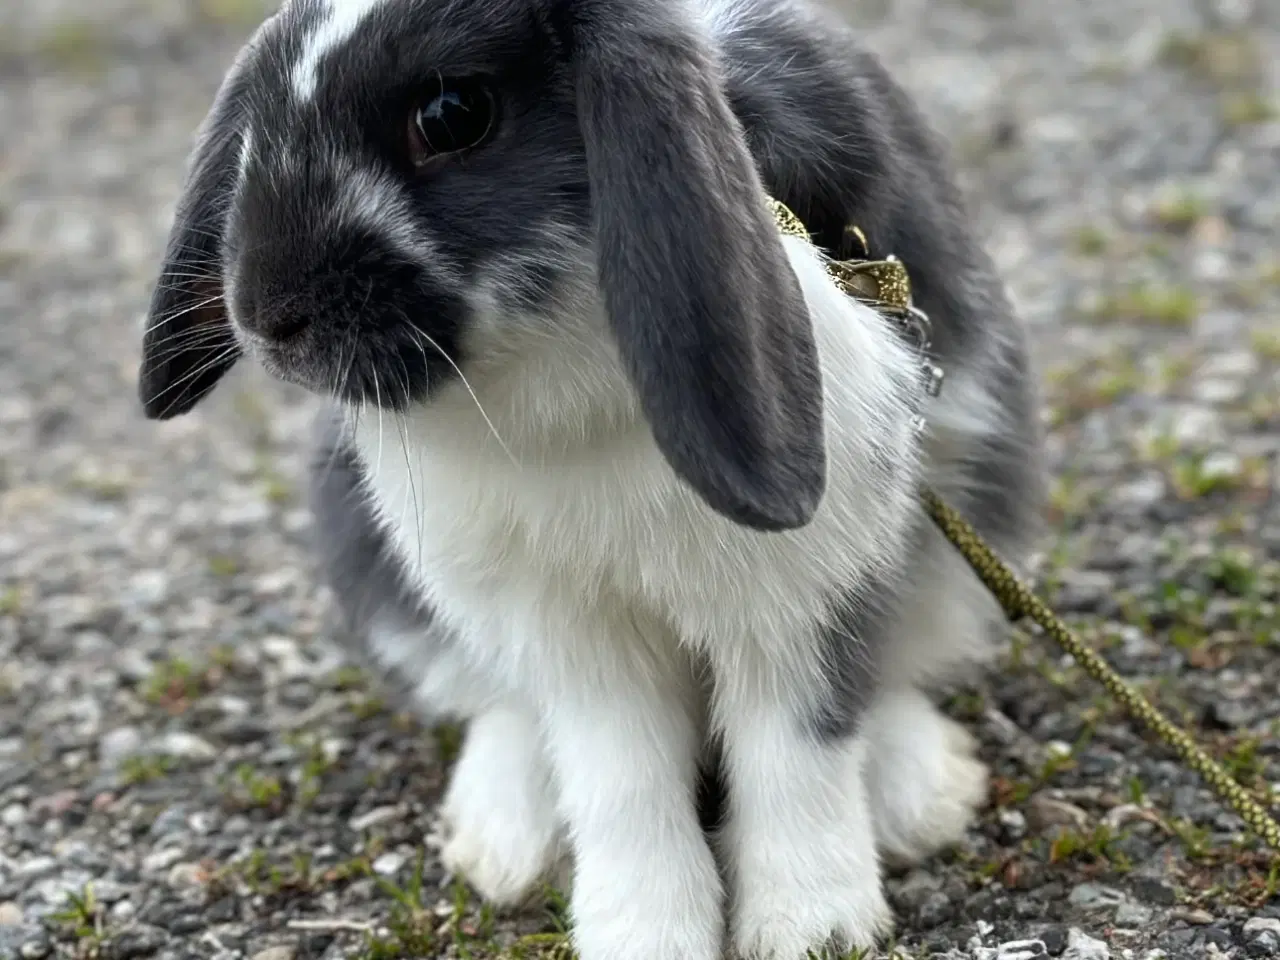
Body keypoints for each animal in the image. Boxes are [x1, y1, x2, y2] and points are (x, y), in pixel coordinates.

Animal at [140, 0, 1044, 957]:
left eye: (451, 116)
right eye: (258, 121)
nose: (265, 316)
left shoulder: (805, 591)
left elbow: (801, 755)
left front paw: (812, 930)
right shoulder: (570, 631)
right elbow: (621, 778)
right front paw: (646, 933)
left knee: (897, 673)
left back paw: (922, 795)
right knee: (496, 705)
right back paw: (506, 839)